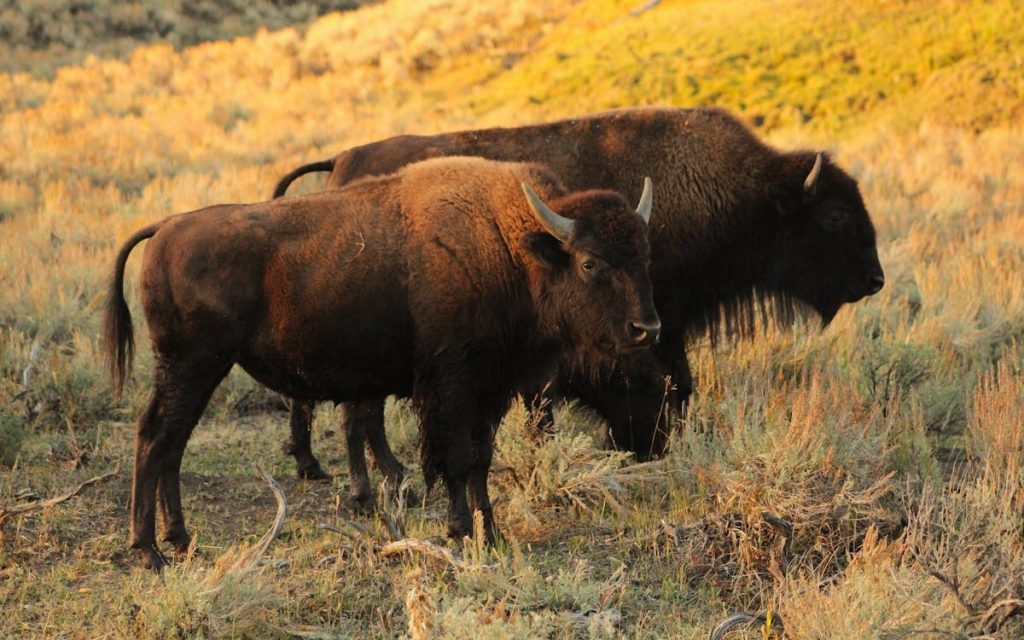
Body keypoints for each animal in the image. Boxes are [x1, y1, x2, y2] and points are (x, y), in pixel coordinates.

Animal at [103, 157, 659, 569]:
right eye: (589, 262)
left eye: (643, 257)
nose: (646, 329)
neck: (509, 245)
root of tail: (166, 228)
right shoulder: (453, 384)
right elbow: (458, 458)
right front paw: (462, 531)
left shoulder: (490, 390)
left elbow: (481, 458)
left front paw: (491, 533)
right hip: (190, 366)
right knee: (154, 438)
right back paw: (149, 551)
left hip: (201, 371)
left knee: (172, 444)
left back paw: (181, 541)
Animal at [272, 107, 885, 499]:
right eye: (834, 215)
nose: (876, 279)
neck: (736, 193)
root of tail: (344, 158)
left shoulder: (655, 322)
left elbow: (675, 379)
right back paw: (346, 472)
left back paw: (334, 469)